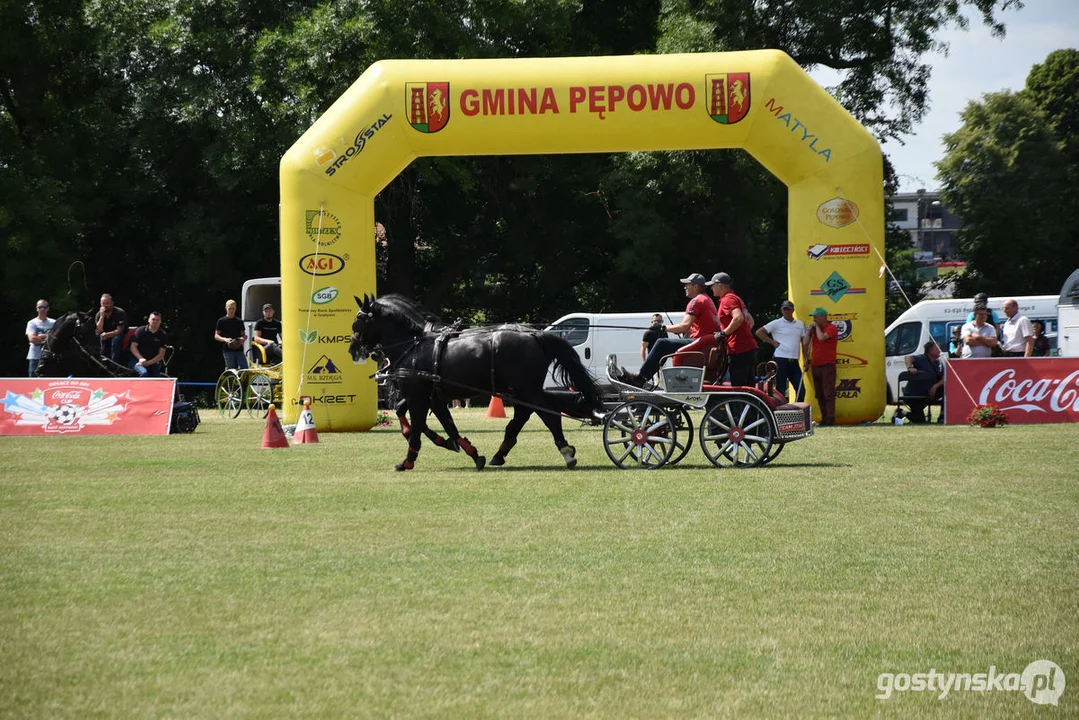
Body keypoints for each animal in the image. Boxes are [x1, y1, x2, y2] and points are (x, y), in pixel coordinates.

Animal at [353, 293, 608, 472]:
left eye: (358, 321)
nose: (354, 350)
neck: (414, 345)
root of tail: (535, 334)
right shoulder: (433, 397)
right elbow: (445, 425)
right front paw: (469, 451)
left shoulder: (418, 395)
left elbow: (416, 425)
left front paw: (407, 461)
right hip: (522, 391)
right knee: (525, 416)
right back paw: (500, 453)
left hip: (527, 390)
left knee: (548, 415)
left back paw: (566, 452)